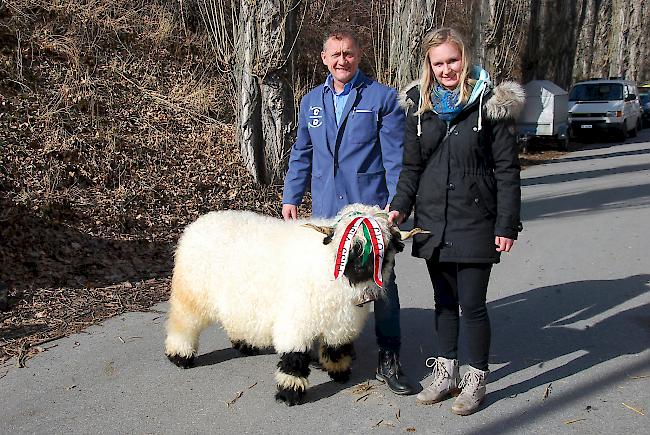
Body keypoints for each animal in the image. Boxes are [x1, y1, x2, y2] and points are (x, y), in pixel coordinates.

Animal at [165, 204, 422, 406]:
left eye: (384, 251)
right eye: (352, 248)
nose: (369, 295)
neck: (327, 264)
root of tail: (197, 223)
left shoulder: (339, 320)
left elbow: (336, 348)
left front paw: (339, 373)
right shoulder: (296, 320)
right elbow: (293, 357)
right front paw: (290, 393)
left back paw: (245, 344)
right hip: (191, 294)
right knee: (183, 324)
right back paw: (180, 356)